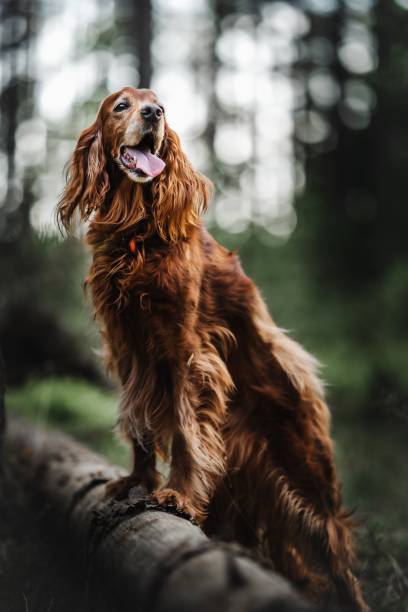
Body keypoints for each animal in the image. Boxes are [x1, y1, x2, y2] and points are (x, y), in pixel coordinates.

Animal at [58, 87, 370, 612]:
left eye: (159, 104)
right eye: (122, 105)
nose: (153, 113)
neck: (137, 231)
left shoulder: (188, 351)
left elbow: (186, 431)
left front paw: (177, 495)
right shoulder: (129, 352)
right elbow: (140, 424)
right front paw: (138, 481)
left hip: (309, 477)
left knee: (337, 557)